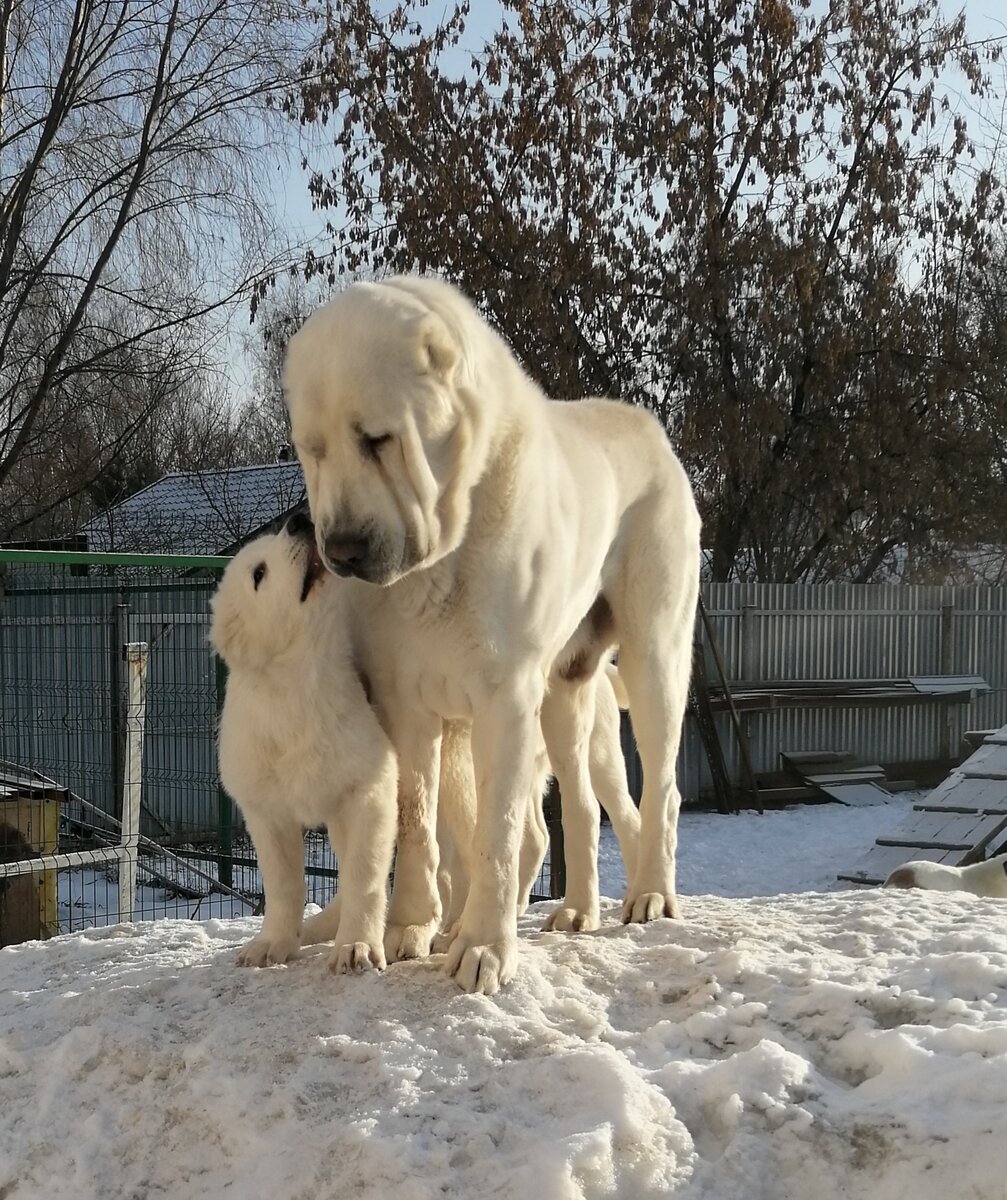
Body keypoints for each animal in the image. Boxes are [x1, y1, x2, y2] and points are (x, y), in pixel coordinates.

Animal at [283, 274, 700, 993]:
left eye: (378, 439)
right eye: (313, 448)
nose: (340, 549)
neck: (441, 560)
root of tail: (653, 432)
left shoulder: (503, 701)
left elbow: (494, 833)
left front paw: (481, 948)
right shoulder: (404, 706)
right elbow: (416, 822)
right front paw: (406, 930)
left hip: (654, 663)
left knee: (662, 790)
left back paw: (650, 895)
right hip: (563, 695)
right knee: (582, 808)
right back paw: (577, 910)